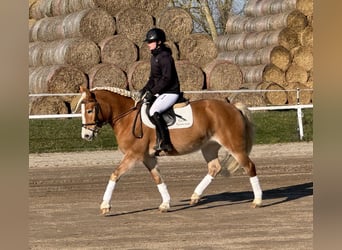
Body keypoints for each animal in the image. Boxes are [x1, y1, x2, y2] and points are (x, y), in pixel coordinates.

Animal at [75, 86, 262, 215]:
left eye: (90, 110)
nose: (86, 135)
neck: (127, 117)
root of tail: (233, 107)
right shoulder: (147, 157)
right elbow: (158, 178)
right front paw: (165, 204)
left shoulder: (133, 155)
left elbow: (115, 174)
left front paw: (105, 206)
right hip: (208, 146)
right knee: (214, 167)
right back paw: (195, 196)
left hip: (235, 147)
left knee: (249, 167)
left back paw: (258, 201)